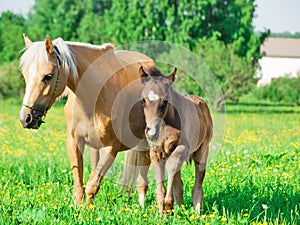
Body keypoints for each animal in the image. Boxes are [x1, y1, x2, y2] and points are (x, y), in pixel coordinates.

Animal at [18, 34, 156, 207]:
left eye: (48, 76)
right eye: (25, 75)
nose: (26, 118)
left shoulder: (111, 147)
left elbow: (92, 185)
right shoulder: (74, 142)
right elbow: (79, 186)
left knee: (143, 178)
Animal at [139, 66, 212, 214]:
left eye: (165, 102)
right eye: (143, 101)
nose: (152, 132)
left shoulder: (183, 148)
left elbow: (171, 166)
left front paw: (168, 204)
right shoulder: (155, 152)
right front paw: (163, 212)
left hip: (202, 150)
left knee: (198, 184)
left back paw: (197, 213)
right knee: (179, 185)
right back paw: (179, 210)